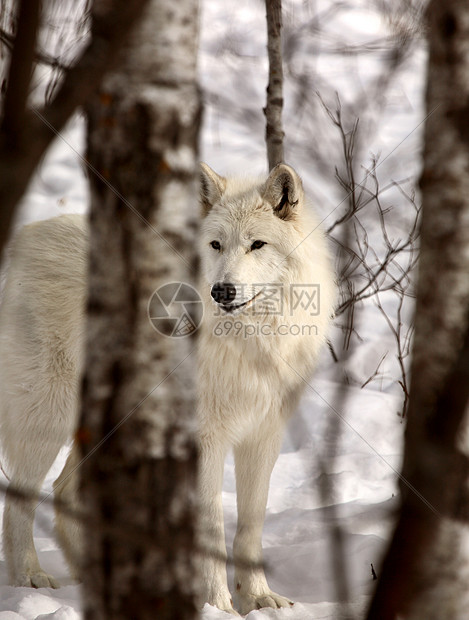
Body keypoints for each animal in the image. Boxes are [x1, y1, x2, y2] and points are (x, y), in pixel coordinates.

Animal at [0, 161, 334, 616]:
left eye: (257, 245)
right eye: (215, 244)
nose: (222, 290)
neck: (247, 340)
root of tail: (27, 235)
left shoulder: (264, 435)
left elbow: (250, 526)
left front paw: (258, 598)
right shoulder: (205, 439)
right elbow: (212, 529)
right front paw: (218, 605)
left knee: (65, 493)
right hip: (49, 417)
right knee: (20, 503)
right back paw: (30, 577)